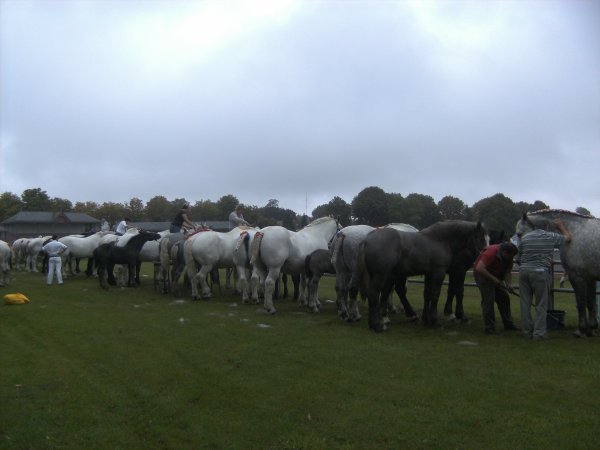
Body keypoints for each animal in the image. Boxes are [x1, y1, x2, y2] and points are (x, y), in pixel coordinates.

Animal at [358, 220, 486, 332]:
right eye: (480, 238)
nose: (483, 254)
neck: (439, 240)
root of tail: (368, 239)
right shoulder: (439, 272)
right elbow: (436, 294)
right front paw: (435, 321)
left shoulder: (429, 273)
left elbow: (428, 293)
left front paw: (426, 319)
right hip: (382, 275)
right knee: (375, 294)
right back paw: (377, 326)